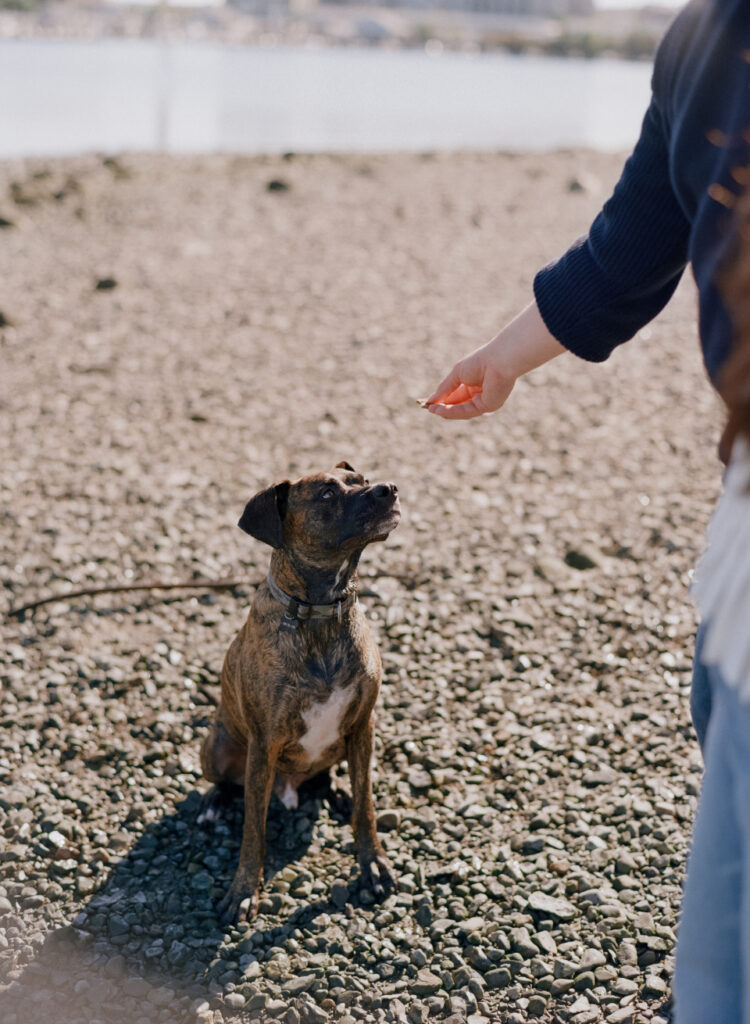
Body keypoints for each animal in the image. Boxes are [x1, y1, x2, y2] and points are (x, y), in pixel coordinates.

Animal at [197, 460, 397, 925]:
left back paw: (337, 792)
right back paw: (214, 803)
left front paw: (372, 864)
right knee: (227, 784)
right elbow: (253, 830)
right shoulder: (263, 743)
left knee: (332, 776)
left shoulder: (363, 725)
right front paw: (243, 890)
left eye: (362, 480)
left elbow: (366, 806)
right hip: (216, 745)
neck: (321, 612)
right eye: (327, 493)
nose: (390, 489)